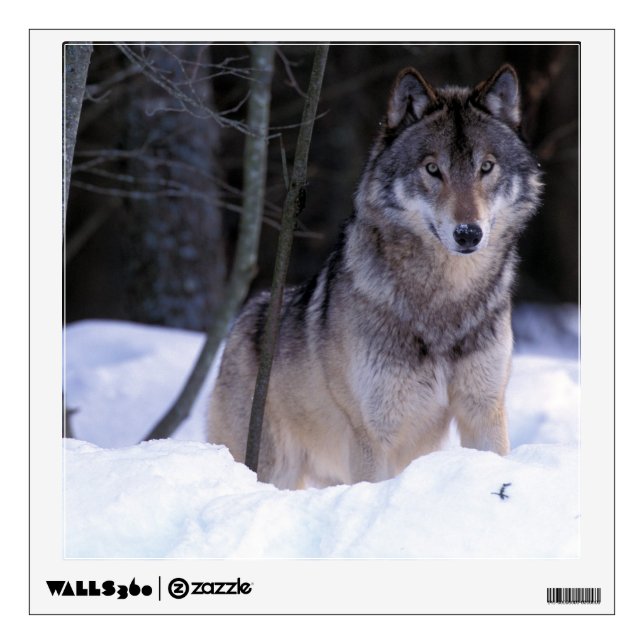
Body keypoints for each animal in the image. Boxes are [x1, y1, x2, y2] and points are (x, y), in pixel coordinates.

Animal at [208, 64, 542, 489]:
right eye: (432, 169)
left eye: (486, 167)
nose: (469, 233)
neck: (445, 302)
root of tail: (243, 318)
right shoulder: (373, 433)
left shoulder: (484, 411)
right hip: (275, 467)